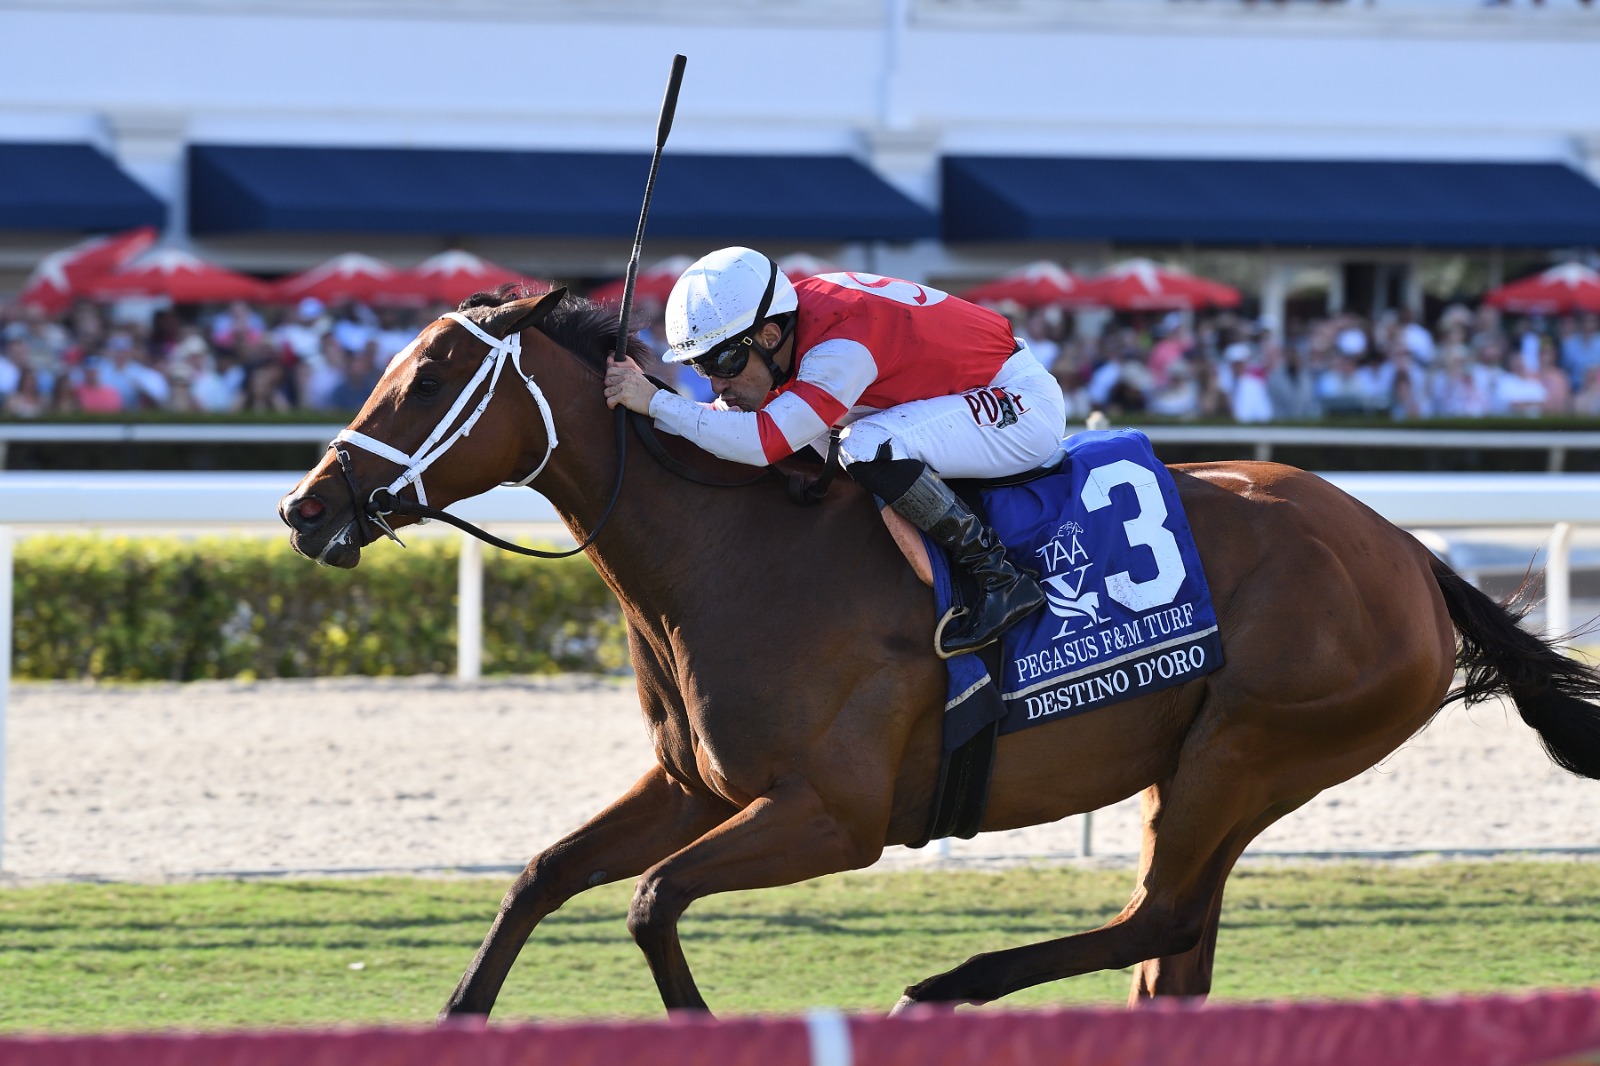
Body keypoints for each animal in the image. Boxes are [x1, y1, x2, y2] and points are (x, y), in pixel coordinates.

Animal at [279, 287, 1600, 1018]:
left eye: (430, 379)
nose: (303, 507)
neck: (732, 551)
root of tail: (1408, 553)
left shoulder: (831, 815)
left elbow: (652, 903)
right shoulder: (694, 783)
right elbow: (544, 874)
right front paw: (457, 1010)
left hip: (1252, 749)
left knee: (1160, 917)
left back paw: (942, 985)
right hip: (1201, 766)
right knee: (1175, 945)